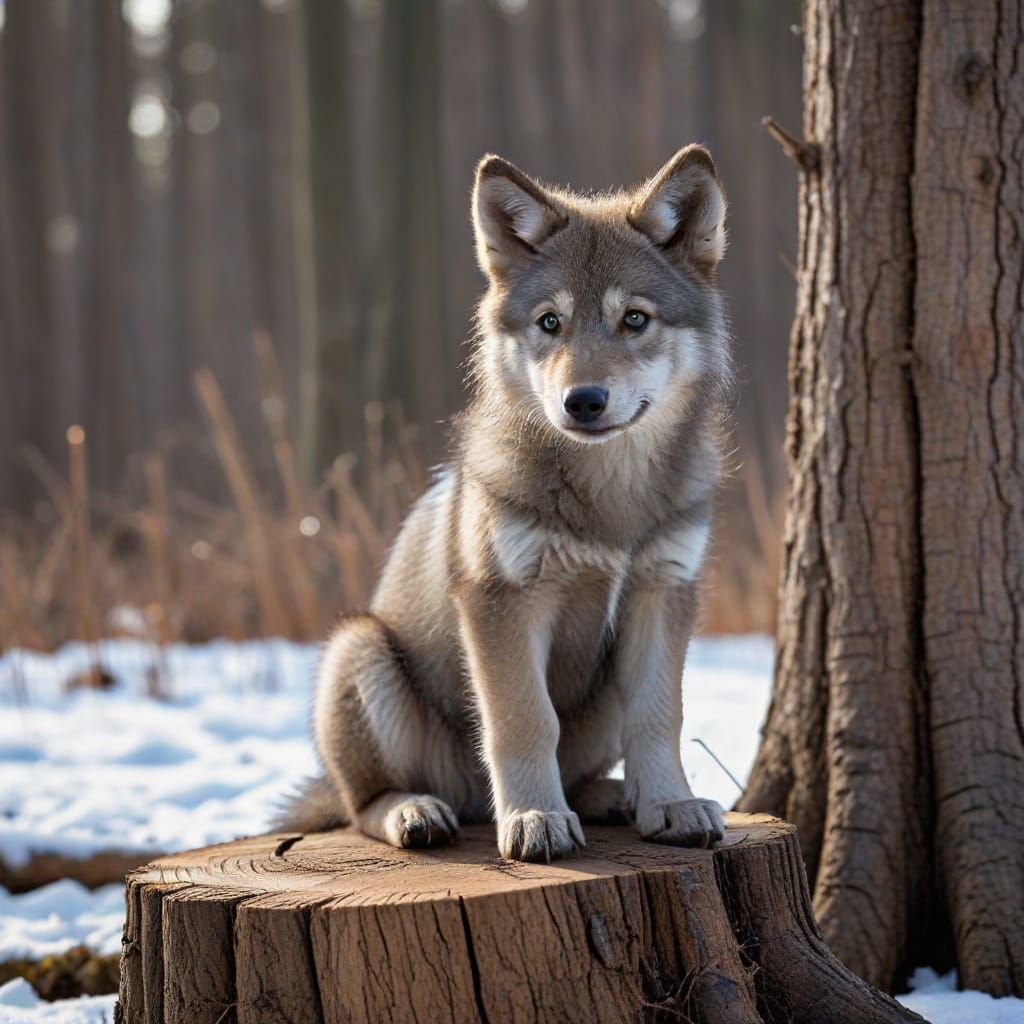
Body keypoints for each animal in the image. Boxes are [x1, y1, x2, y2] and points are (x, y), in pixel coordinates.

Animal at [281, 145, 732, 863]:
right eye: (551, 322)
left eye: (634, 319)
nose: (583, 401)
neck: (609, 498)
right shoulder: (502, 601)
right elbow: (525, 721)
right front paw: (534, 819)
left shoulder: (663, 593)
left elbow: (661, 716)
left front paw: (670, 805)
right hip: (360, 648)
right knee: (361, 807)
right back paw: (419, 812)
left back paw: (612, 798)